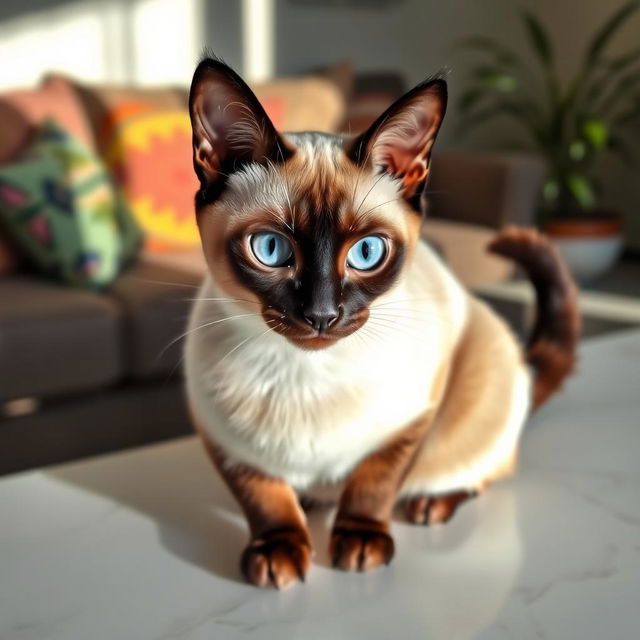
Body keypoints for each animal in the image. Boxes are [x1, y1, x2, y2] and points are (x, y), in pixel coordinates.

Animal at [184, 57, 580, 588]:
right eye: (271, 249)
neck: (304, 375)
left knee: (481, 469)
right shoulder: (221, 436)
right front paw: (279, 552)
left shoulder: (411, 421)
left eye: (367, 252)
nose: (321, 314)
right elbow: (263, 498)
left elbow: (373, 484)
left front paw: (360, 544)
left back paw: (430, 503)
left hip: (481, 365)